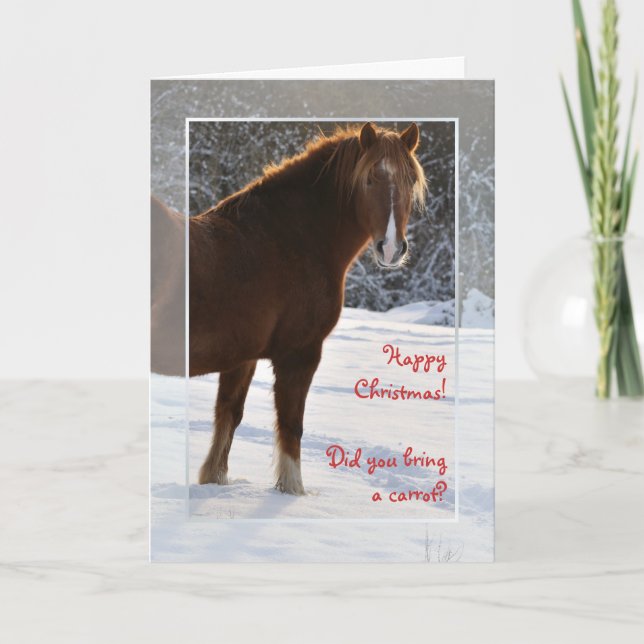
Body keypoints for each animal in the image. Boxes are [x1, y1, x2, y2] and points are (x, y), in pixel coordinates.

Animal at [187, 121, 426, 494]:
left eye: (410, 180)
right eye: (370, 179)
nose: (390, 248)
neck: (284, 239)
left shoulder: (242, 358)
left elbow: (228, 414)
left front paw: (215, 478)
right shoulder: (299, 355)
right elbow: (291, 424)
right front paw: (293, 490)